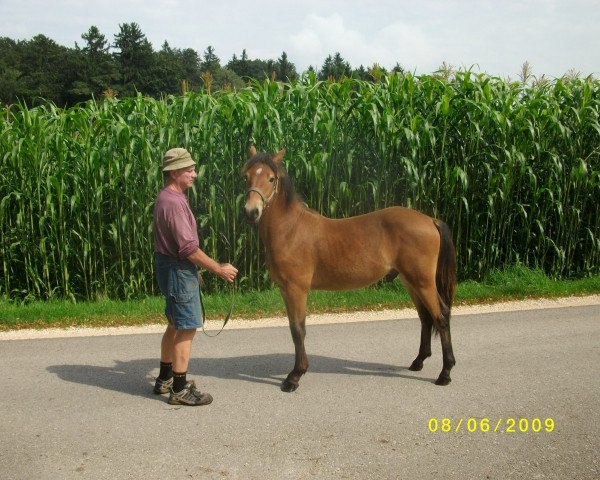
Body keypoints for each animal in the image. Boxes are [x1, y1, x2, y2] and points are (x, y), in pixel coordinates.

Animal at [241, 147, 458, 394]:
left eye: (271, 178)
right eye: (246, 176)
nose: (251, 211)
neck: (291, 230)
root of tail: (431, 220)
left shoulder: (296, 289)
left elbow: (298, 330)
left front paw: (294, 377)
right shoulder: (286, 290)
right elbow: (294, 329)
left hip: (423, 282)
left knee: (440, 317)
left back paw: (445, 373)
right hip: (411, 282)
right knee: (425, 318)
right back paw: (418, 362)